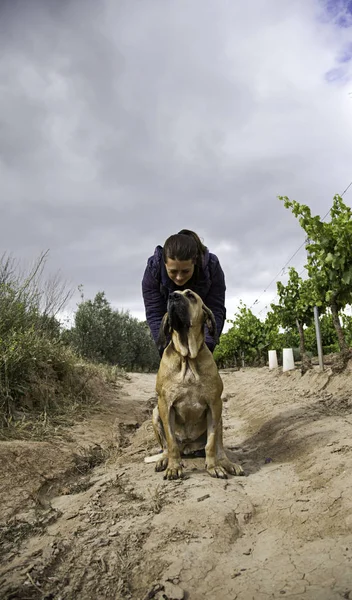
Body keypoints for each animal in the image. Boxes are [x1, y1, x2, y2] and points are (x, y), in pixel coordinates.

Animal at [151, 288, 245, 480]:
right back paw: (164, 460)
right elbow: (171, 442)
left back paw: (228, 464)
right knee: (166, 448)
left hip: (220, 418)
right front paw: (173, 467)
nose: (172, 296)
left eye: (191, 295)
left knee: (219, 448)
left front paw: (213, 467)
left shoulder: (214, 405)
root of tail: (188, 448)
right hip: (155, 413)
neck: (187, 359)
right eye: (172, 293)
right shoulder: (165, 405)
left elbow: (211, 443)